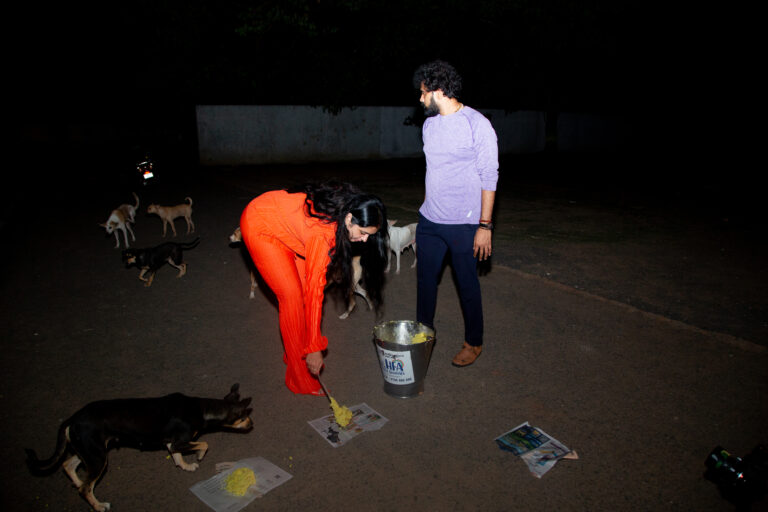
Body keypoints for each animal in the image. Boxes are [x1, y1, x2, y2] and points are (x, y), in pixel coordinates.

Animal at [23, 382, 252, 510]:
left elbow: (176, 455)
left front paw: (185, 466)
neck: (202, 408)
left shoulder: (171, 442)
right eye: (245, 418)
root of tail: (71, 420)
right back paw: (98, 505)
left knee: (68, 466)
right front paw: (198, 457)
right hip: (97, 457)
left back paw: (78, 482)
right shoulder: (181, 440)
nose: (252, 425)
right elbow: (203, 443)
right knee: (86, 488)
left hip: (88, 451)